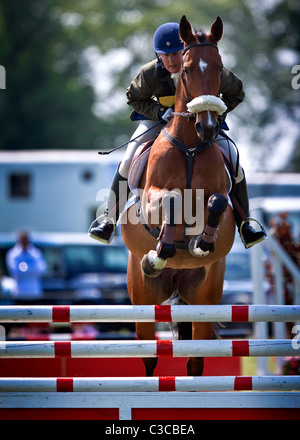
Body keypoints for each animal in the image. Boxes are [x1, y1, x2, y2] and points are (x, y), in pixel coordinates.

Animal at [120, 15, 236, 376]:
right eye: (185, 70)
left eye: (220, 68)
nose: (209, 127)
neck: (190, 146)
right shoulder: (149, 199)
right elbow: (170, 200)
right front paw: (163, 248)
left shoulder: (219, 199)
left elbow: (217, 202)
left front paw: (200, 243)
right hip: (142, 297)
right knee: (148, 355)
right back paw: (154, 260)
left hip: (204, 298)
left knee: (196, 359)